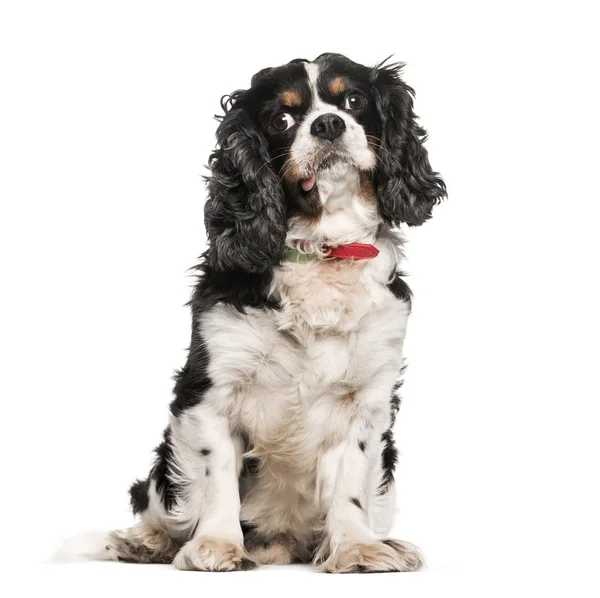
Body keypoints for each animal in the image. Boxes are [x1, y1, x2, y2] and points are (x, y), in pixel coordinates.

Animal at [98, 54, 446, 576]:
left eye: (353, 100)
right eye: (281, 119)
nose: (328, 124)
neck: (322, 249)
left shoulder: (367, 400)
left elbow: (350, 483)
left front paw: (356, 547)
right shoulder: (208, 391)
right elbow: (217, 473)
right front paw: (217, 543)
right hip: (167, 467)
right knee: (162, 506)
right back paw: (143, 541)